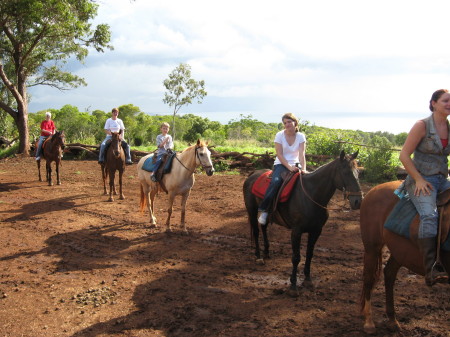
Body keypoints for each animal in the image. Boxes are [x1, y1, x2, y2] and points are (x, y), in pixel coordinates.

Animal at [243, 150, 362, 294]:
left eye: (358, 172)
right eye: (346, 172)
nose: (358, 201)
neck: (310, 196)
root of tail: (253, 174)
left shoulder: (316, 231)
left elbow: (309, 254)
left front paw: (308, 279)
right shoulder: (296, 231)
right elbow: (296, 257)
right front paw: (293, 285)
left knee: (263, 227)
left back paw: (266, 252)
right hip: (251, 210)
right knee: (255, 231)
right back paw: (258, 256)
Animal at [358, 180, 450, 332]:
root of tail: (374, 189)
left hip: (399, 251)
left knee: (389, 273)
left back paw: (392, 320)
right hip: (372, 248)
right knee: (369, 278)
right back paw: (369, 322)